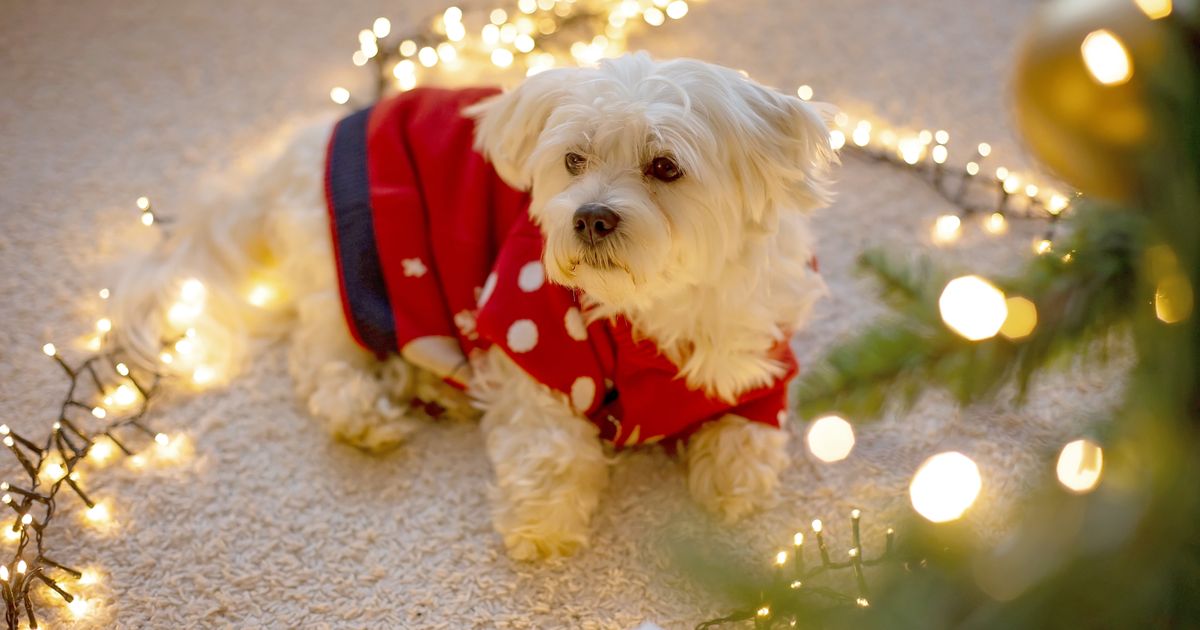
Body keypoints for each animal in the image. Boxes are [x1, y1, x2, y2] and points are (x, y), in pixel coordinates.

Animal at [112, 51, 835, 556]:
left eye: (665, 167)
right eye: (573, 160)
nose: (589, 218)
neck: (653, 306)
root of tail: (297, 148)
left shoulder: (764, 354)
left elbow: (750, 430)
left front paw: (732, 481)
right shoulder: (529, 331)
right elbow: (550, 443)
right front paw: (543, 523)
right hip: (356, 270)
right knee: (321, 358)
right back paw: (364, 413)